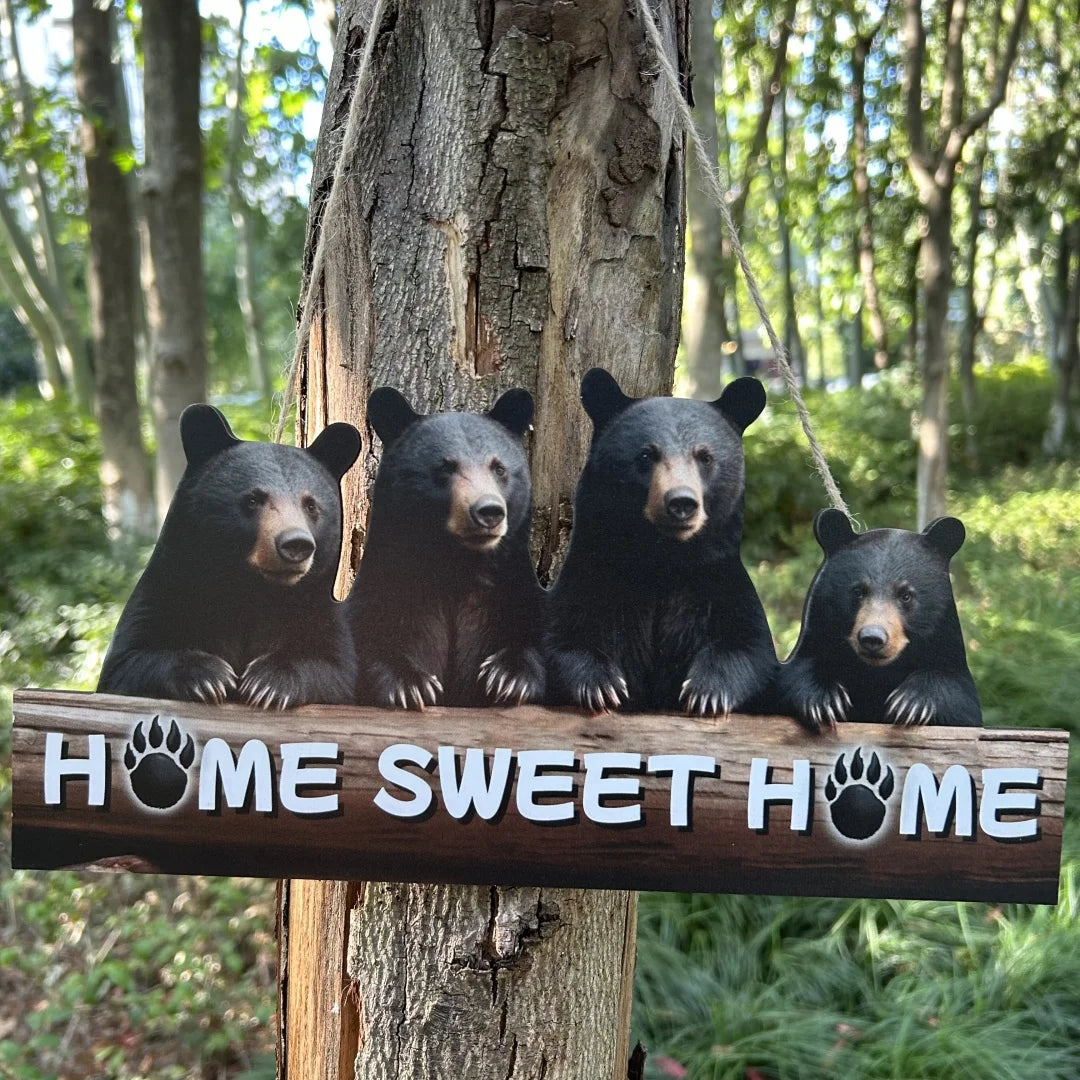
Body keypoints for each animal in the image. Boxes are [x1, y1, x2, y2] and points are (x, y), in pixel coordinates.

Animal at [98, 405, 362, 709]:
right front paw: (209, 676)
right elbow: (127, 660)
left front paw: (267, 682)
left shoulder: (315, 609)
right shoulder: (165, 591)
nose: (295, 544)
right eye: (253, 499)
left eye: (311, 505)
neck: (249, 589)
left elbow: (335, 670)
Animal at [347, 386, 545, 709]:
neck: (456, 565)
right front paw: (411, 684)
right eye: (444, 467)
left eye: (499, 468)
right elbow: (375, 637)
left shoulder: (508, 593)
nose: (488, 511)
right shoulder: (393, 592)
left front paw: (507, 676)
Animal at [544, 368, 777, 716]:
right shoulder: (596, 573)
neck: (662, 559)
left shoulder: (715, 579)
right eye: (646, 455)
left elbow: (747, 646)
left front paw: (706, 692)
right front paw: (603, 686)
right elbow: (565, 635)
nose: (681, 502)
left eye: (705, 457)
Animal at [775, 509, 982, 730]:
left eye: (906, 595)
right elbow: (796, 673)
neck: (876, 673)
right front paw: (825, 701)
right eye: (858, 591)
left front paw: (909, 703)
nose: (872, 638)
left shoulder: (947, 646)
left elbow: (959, 696)